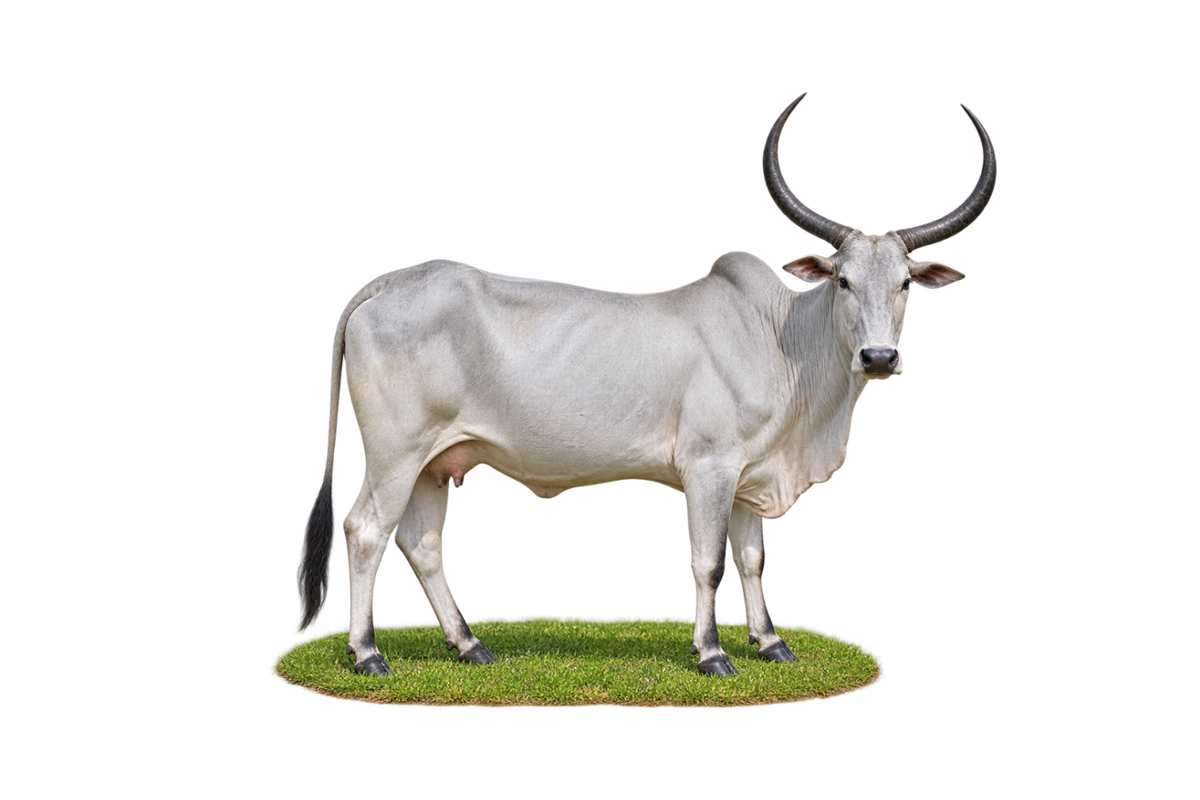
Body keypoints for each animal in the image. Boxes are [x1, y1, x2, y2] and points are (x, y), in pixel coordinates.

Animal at [294, 91, 999, 677]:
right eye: (844, 281)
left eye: (906, 284)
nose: (879, 356)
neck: (782, 342)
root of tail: (390, 280)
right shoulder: (709, 467)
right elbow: (709, 562)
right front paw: (712, 653)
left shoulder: (751, 474)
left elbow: (751, 558)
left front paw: (770, 643)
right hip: (394, 453)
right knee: (367, 532)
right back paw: (367, 654)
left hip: (433, 460)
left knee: (421, 542)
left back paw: (469, 645)